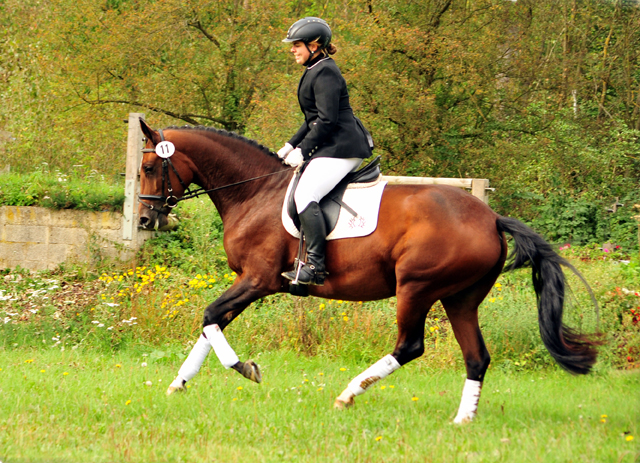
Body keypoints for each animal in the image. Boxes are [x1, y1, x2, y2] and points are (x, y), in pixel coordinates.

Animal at [136, 120, 600, 424]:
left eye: (148, 168)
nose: (144, 220)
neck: (254, 191)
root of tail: (490, 218)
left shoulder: (258, 280)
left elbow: (211, 317)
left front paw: (245, 369)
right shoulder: (249, 282)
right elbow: (211, 322)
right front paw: (179, 383)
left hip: (416, 287)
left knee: (410, 345)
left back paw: (348, 395)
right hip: (460, 298)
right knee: (476, 356)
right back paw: (461, 422)